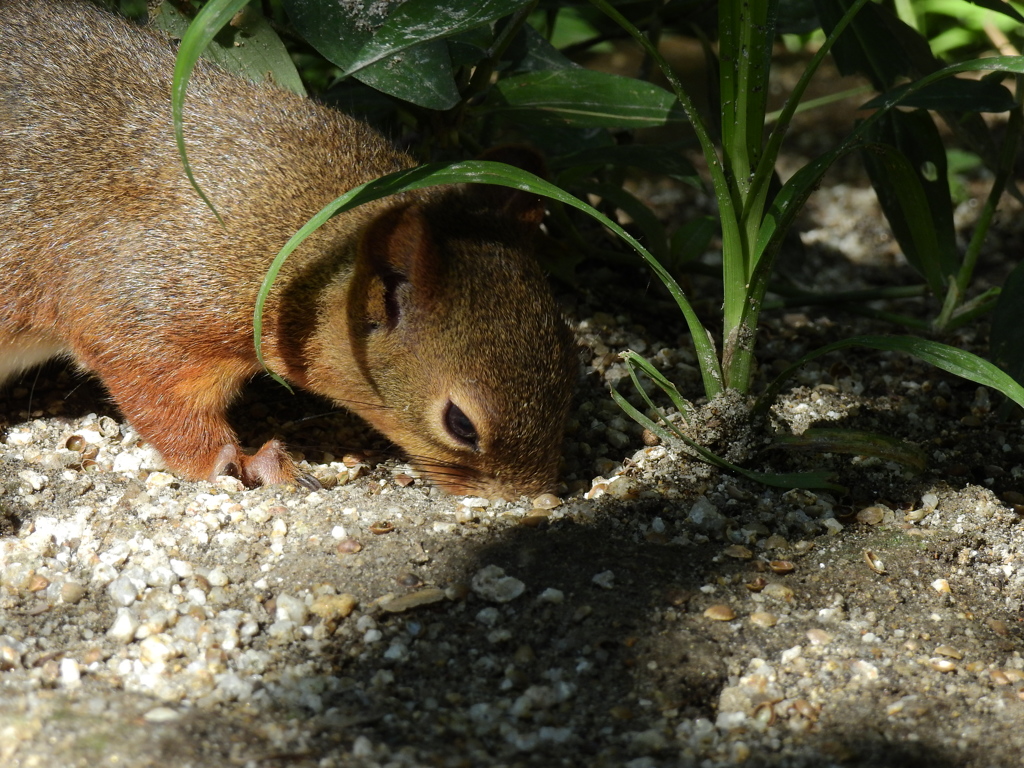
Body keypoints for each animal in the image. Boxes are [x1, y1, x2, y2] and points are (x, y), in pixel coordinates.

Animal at [0, 0, 577, 501]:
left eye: (571, 364)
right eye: (460, 423)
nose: (530, 494)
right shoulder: (146, 302)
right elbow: (161, 400)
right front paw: (243, 461)